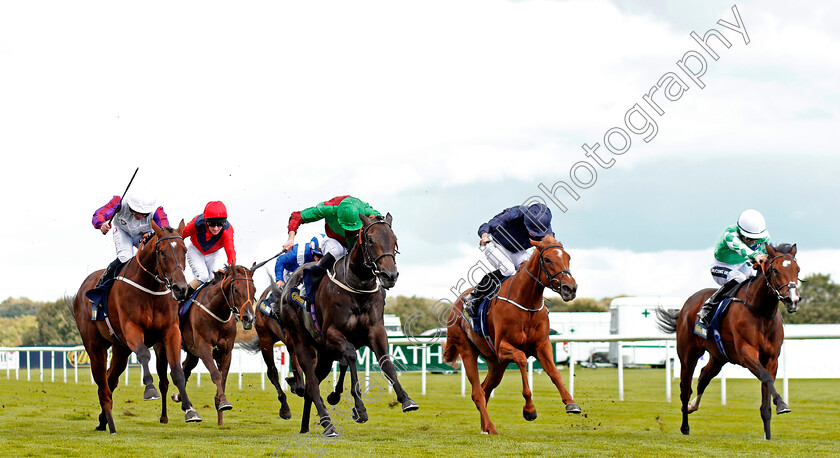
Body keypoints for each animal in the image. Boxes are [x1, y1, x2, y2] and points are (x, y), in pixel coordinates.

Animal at [70, 222, 199, 432]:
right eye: (162, 252)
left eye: (185, 250)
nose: (180, 288)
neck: (151, 289)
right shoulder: (132, 329)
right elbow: (144, 354)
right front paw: (150, 389)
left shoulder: (171, 332)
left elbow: (177, 371)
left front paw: (190, 410)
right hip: (95, 346)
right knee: (102, 383)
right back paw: (110, 424)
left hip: (120, 349)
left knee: (110, 379)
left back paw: (102, 420)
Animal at [156, 264, 256, 426]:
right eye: (236, 290)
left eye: (254, 290)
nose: (249, 318)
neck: (216, 312)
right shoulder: (204, 348)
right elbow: (216, 374)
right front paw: (224, 403)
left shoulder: (226, 352)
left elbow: (223, 378)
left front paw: (220, 417)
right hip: (162, 348)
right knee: (164, 382)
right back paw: (164, 417)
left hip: (192, 353)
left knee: (184, 369)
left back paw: (179, 398)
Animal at [278, 214, 418, 436]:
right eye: (370, 240)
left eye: (394, 240)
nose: (389, 275)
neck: (357, 288)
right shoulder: (332, 334)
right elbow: (351, 356)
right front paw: (359, 408)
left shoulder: (376, 331)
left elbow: (386, 361)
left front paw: (406, 400)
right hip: (301, 342)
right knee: (312, 383)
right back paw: (328, 424)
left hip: (324, 355)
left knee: (312, 384)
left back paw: (306, 426)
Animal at [442, 234, 580, 434]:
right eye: (547, 259)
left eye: (568, 257)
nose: (570, 288)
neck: (526, 303)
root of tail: (455, 306)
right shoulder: (502, 347)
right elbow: (522, 358)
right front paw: (529, 410)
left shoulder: (542, 345)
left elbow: (554, 372)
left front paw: (571, 403)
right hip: (467, 350)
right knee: (477, 393)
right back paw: (491, 427)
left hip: (496, 364)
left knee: (484, 389)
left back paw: (485, 428)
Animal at [656, 243, 800, 440]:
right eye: (776, 270)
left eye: (798, 270)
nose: (792, 300)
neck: (761, 312)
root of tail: (687, 304)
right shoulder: (747, 354)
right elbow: (766, 378)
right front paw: (782, 404)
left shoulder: (771, 360)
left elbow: (767, 393)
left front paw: (768, 436)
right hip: (688, 355)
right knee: (685, 389)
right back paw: (685, 427)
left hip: (719, 356)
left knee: (703, 377)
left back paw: (693, 406)